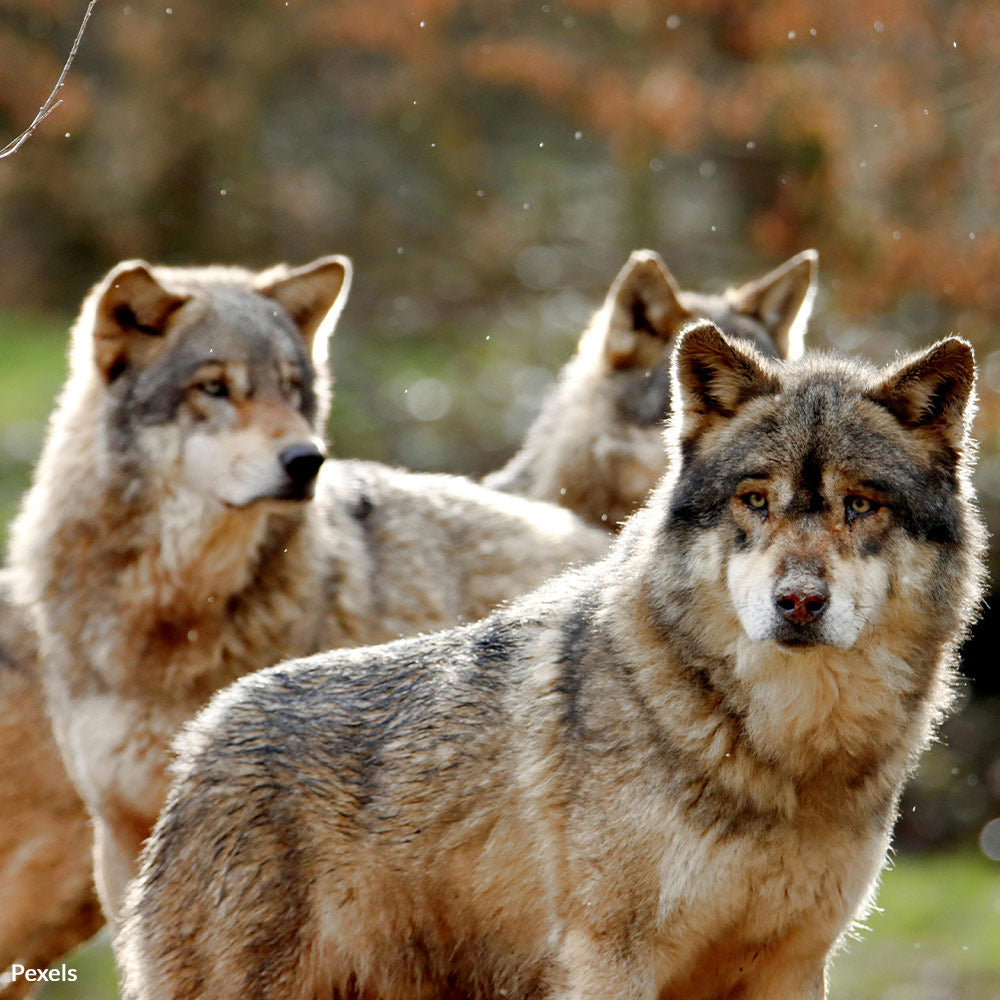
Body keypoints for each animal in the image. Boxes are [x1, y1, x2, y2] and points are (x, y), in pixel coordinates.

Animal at [117, 323, 984, 1000]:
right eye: (755, 501)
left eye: (859, 505)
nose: (798, 602)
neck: (782, 757)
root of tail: (204, 735)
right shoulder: (609, 959)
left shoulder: (793, 966)